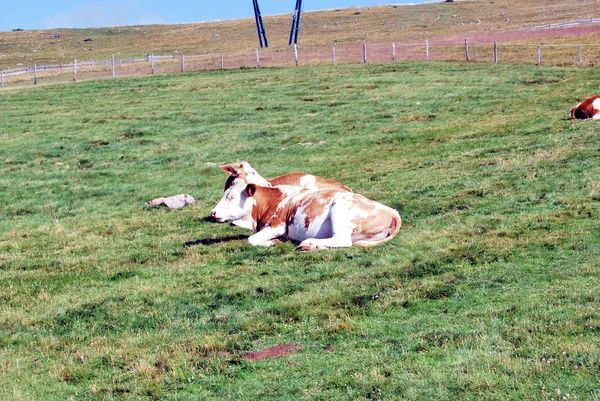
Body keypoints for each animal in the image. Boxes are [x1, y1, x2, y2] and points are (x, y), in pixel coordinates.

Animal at [212, 164, 404, 248]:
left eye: (231, 196)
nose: (213, 212)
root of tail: (392, 211)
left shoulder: (277, 225)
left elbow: (251, 239)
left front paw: (272, 242)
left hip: (339, 207)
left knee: (342, 240)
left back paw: (308, 243)